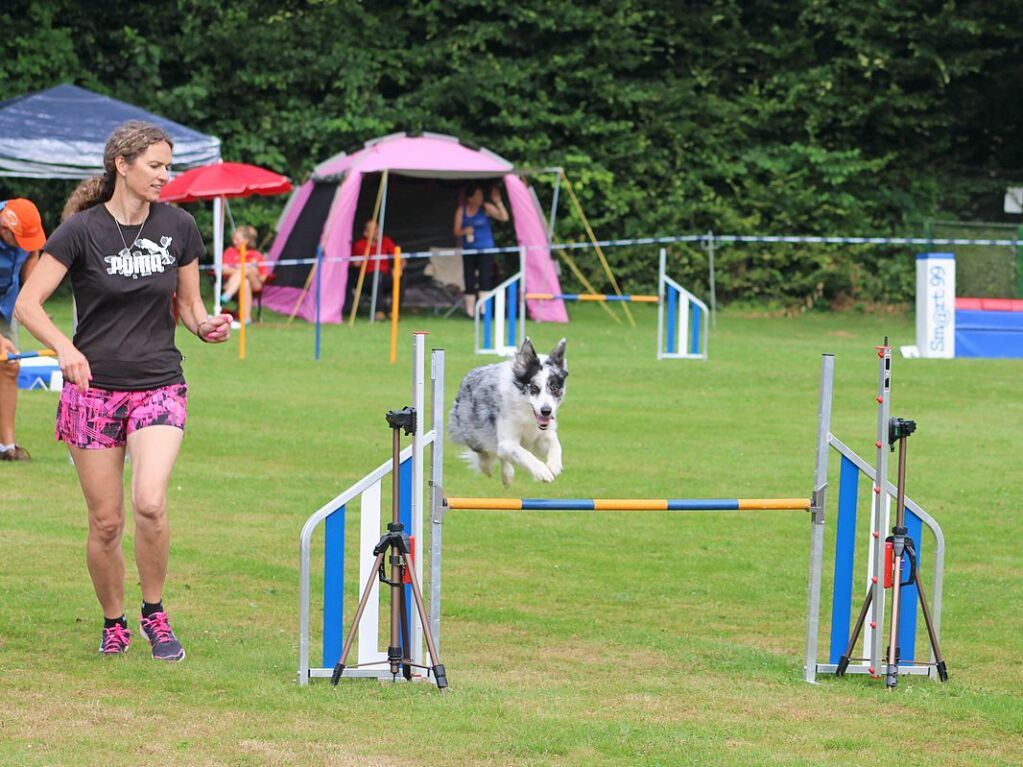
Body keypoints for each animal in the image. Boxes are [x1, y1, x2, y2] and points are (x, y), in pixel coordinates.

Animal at [452, 341, 572, 486]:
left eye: (554, 387)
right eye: (534, 387)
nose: (546, 411)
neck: (526, 412)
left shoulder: (540, 434)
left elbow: (555, 442)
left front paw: (554, 465)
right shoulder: (507, 441)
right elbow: (525, 454)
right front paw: (542, 472)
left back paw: (506, 476)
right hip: (472, 427)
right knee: (485, 451)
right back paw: (488, 468)